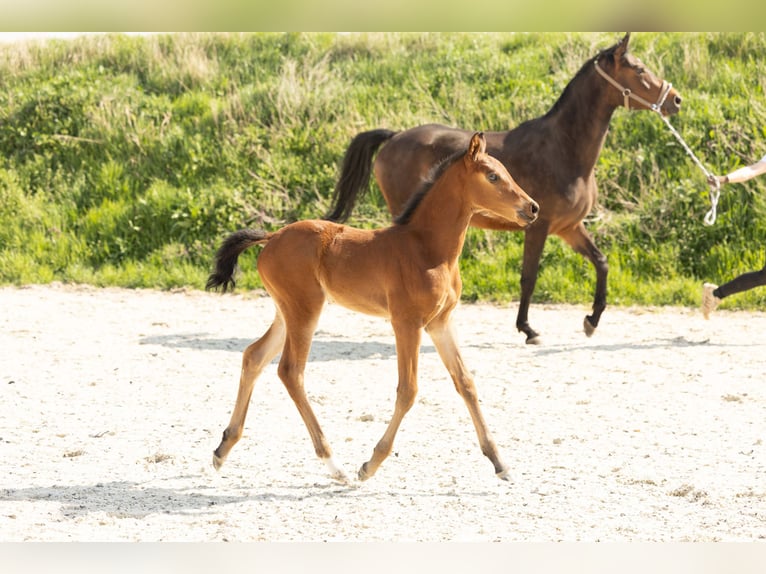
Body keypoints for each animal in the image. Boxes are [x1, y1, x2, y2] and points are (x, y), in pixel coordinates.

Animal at [207, 133, 539, 483]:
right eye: (493, 176)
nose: (532, 208)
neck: (427, 249)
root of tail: (271, 237)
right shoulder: (407, 322)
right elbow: (408, 390)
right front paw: (370, 464)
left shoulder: (440, 322)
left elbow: (466, 383)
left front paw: (500, 462)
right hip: (304, 310)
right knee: (291, 371)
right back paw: (334, 464)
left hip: (285, 311)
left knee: (254, 356)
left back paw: (222, 449)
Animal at [325, 33, 682, 344]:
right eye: (639, 69)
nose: (675, 99)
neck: (564, 149)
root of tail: (394, 136)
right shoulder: (539, 226)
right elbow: (529, 277)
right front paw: (528, 329)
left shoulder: (569, 227)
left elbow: (601, 261)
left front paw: (591, 320)